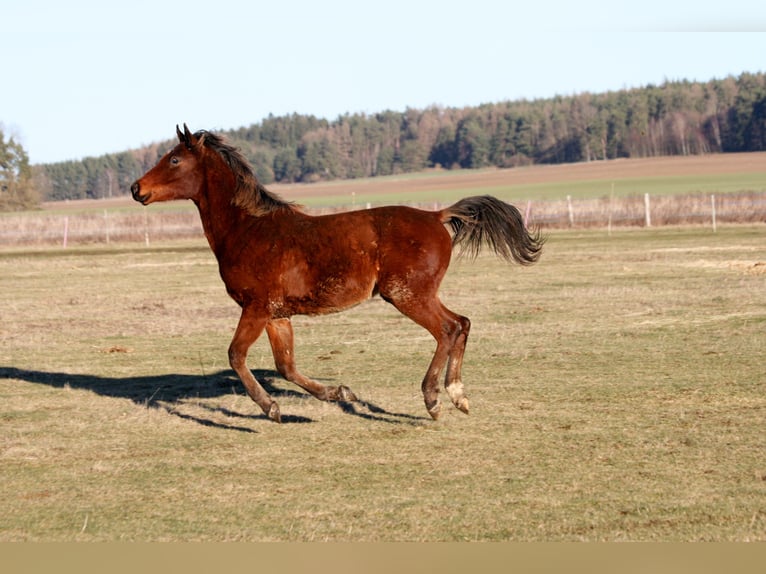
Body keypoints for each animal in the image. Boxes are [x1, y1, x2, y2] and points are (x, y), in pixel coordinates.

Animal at [130, 126, 544, 424]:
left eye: (174, 159)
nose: (136, 188)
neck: (248, 228)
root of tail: (436, 215)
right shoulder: (276, 315)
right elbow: (286, 367)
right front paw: (340, 393)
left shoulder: (255, 307)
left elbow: (236, 355)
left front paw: (270, 408)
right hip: (418, 293)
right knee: (463, 322)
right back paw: (458, 396)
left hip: (406, 294)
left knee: (449, 328)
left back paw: (434, 400)